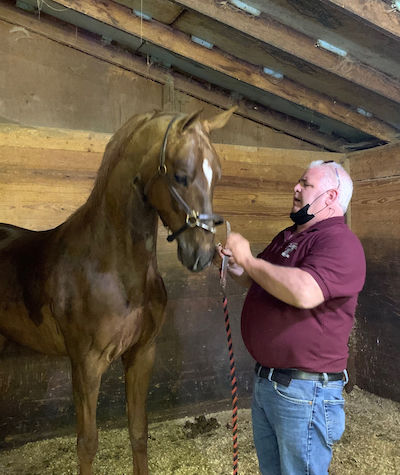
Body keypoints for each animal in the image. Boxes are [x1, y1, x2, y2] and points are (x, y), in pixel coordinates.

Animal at [0, 106, 236, 474]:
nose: (202, 254)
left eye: (218, 176)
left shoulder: (142, 354)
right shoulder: (86, 364)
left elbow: (138, 431)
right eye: (181, 175)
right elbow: (87, 443)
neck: (110, 266)